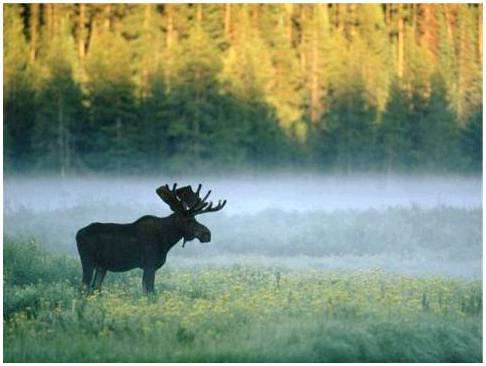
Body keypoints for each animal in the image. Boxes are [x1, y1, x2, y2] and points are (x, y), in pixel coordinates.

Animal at [75, 183, 226, 294]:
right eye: (188, 220)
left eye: (196, 218)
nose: (207, 234)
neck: (167, 240)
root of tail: (77, 234)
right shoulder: (149, 265)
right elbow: (150, 293)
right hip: (87, 260)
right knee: (84, 287)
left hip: (102, 266)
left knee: (95, 288)